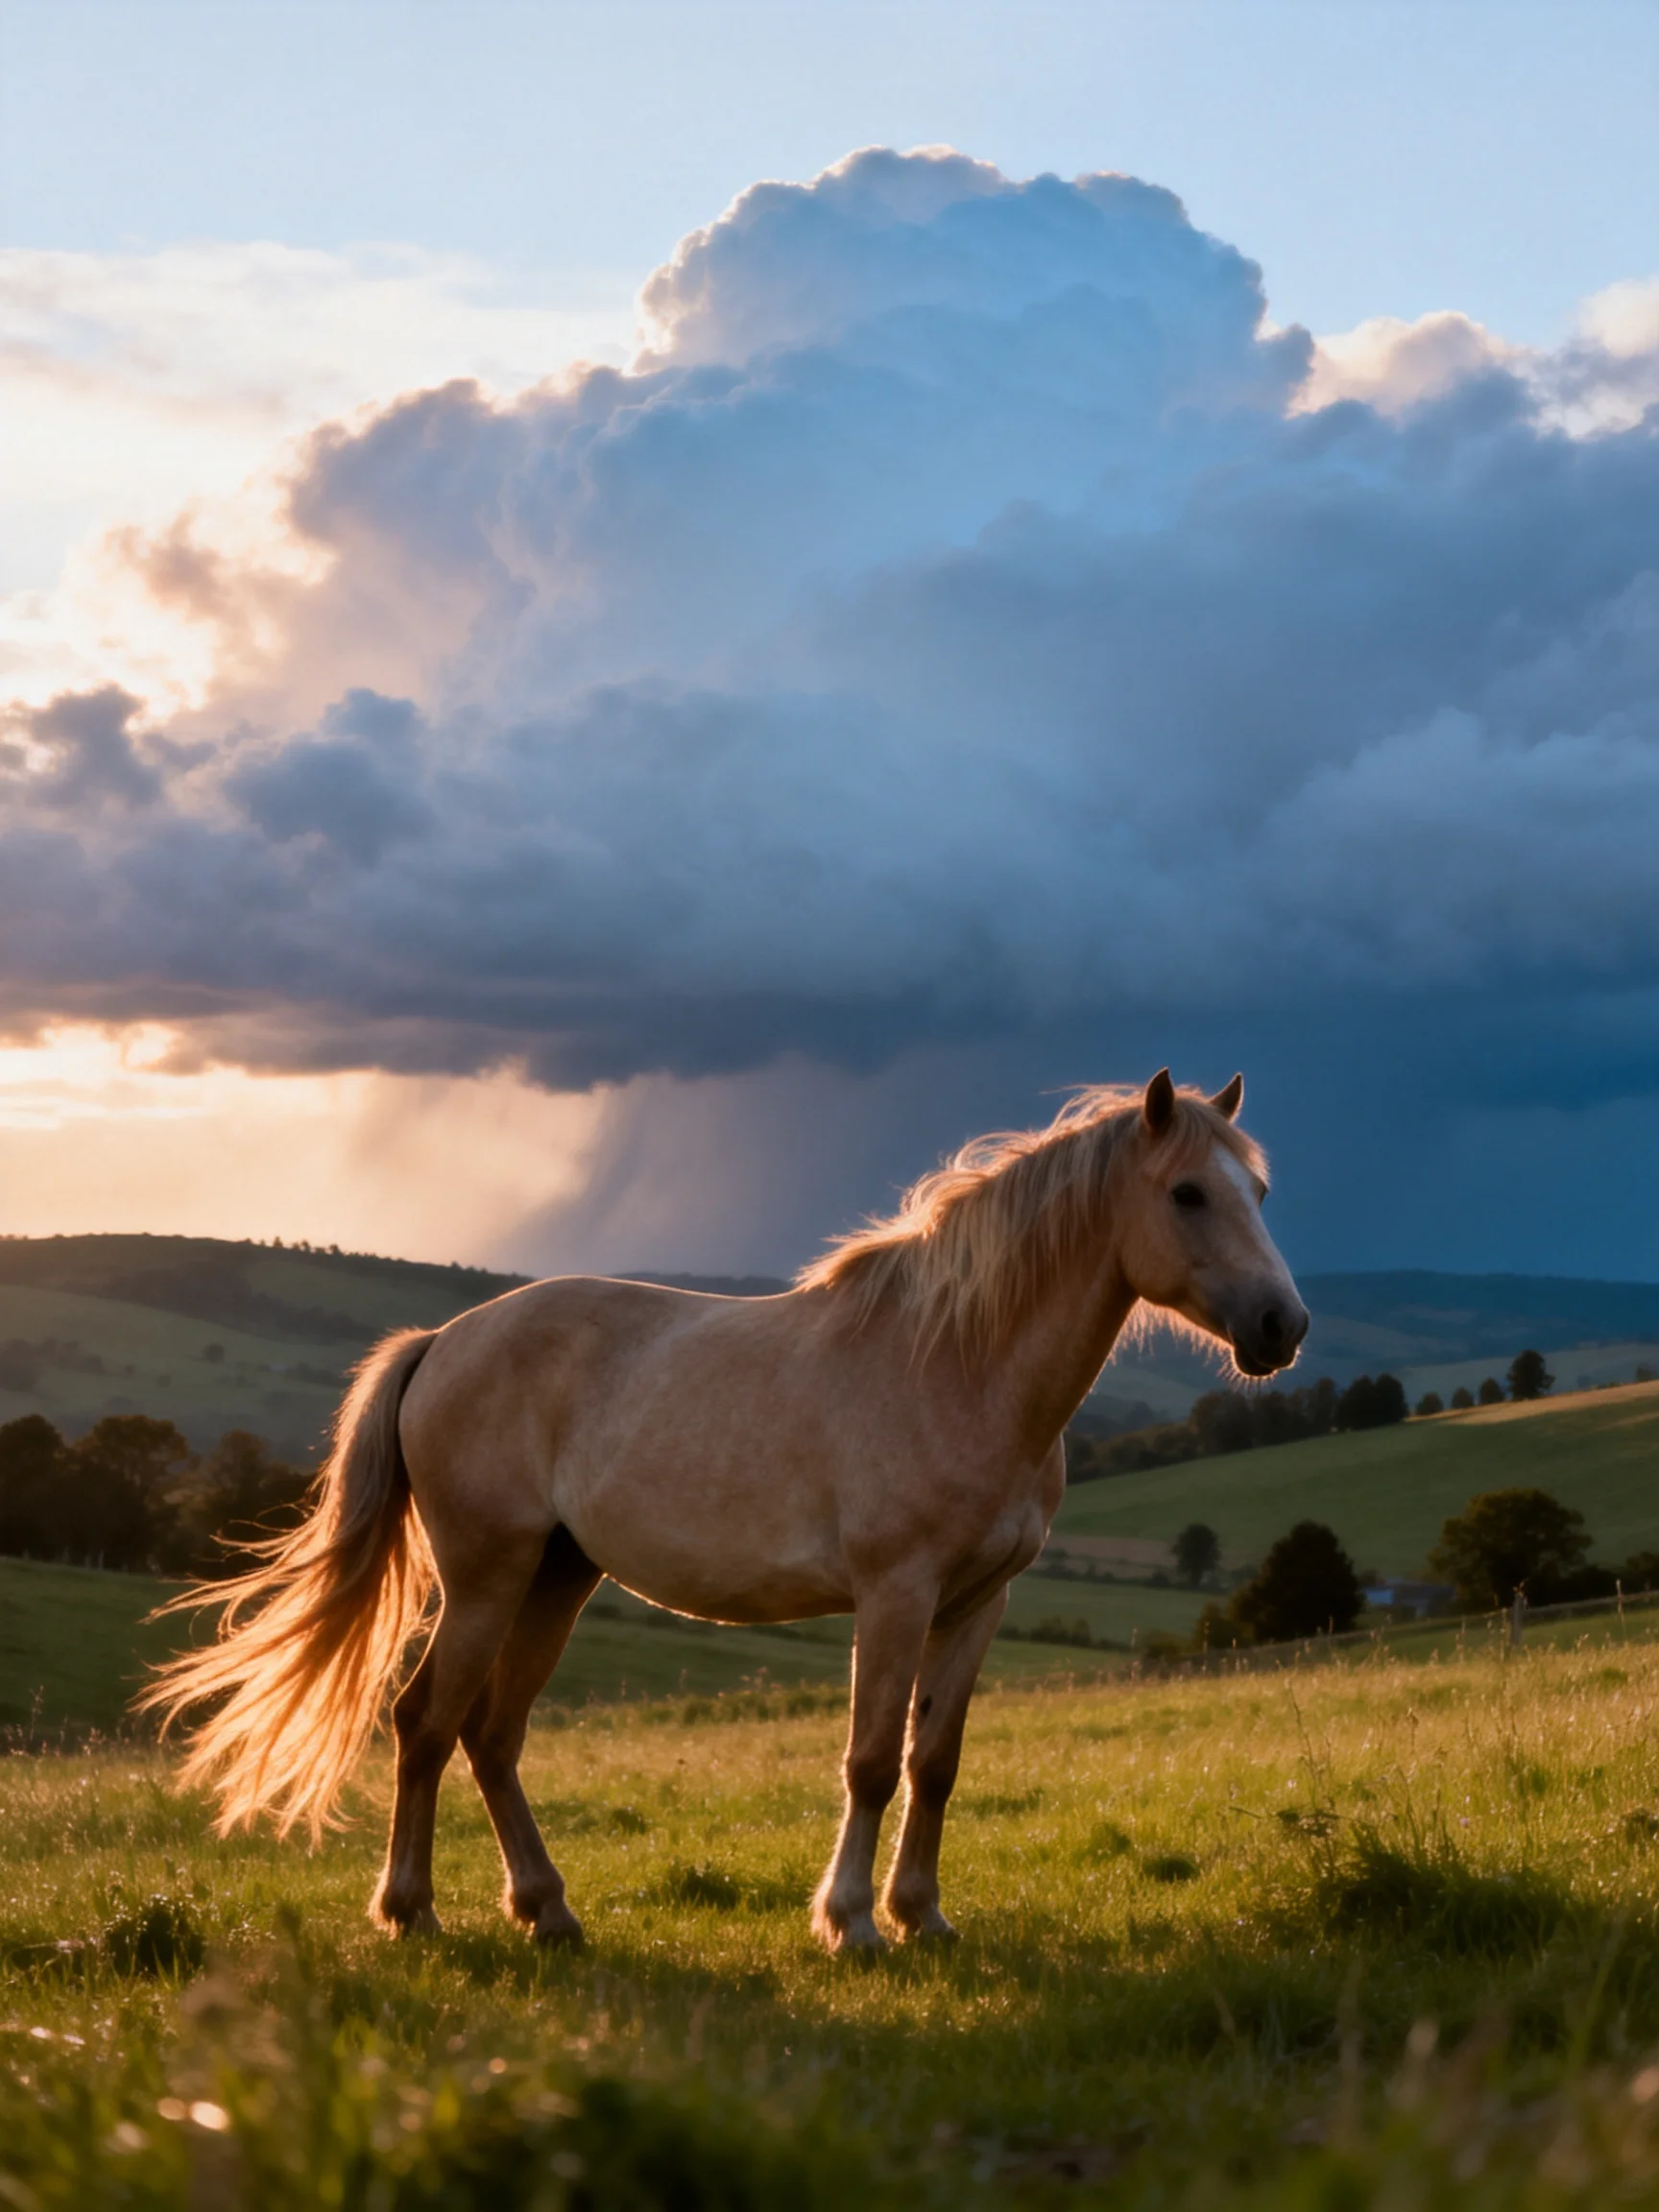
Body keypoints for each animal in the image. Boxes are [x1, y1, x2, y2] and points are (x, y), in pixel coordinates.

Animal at [142, 1069, 1307, 1954]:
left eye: (1259, 1188)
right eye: (1189, 1194)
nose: (1281, 1326)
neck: (958, 1364)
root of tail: (442, 1342)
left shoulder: (977, 1603)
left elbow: (934, 1765)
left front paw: (923, 1917)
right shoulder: (895, 1596)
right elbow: (871, 1760)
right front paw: (852, 1924)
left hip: (558, 1578)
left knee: (492, 1735)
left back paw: (548, 1912)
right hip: (486, 1577)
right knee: (426, 1723)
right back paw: (412, 1912)